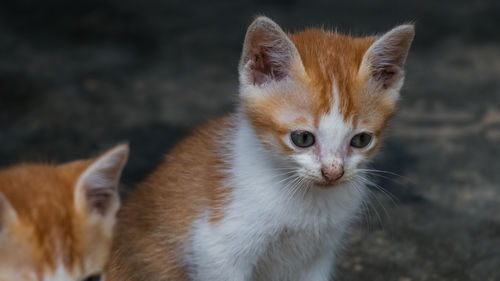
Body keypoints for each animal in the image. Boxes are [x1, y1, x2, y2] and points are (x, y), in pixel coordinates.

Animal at [107, 16, 412, 280]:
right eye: (302, 138)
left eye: (361, 140)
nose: (333, 172)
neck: (307, 199)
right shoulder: (216, 250)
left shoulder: (320, 254)